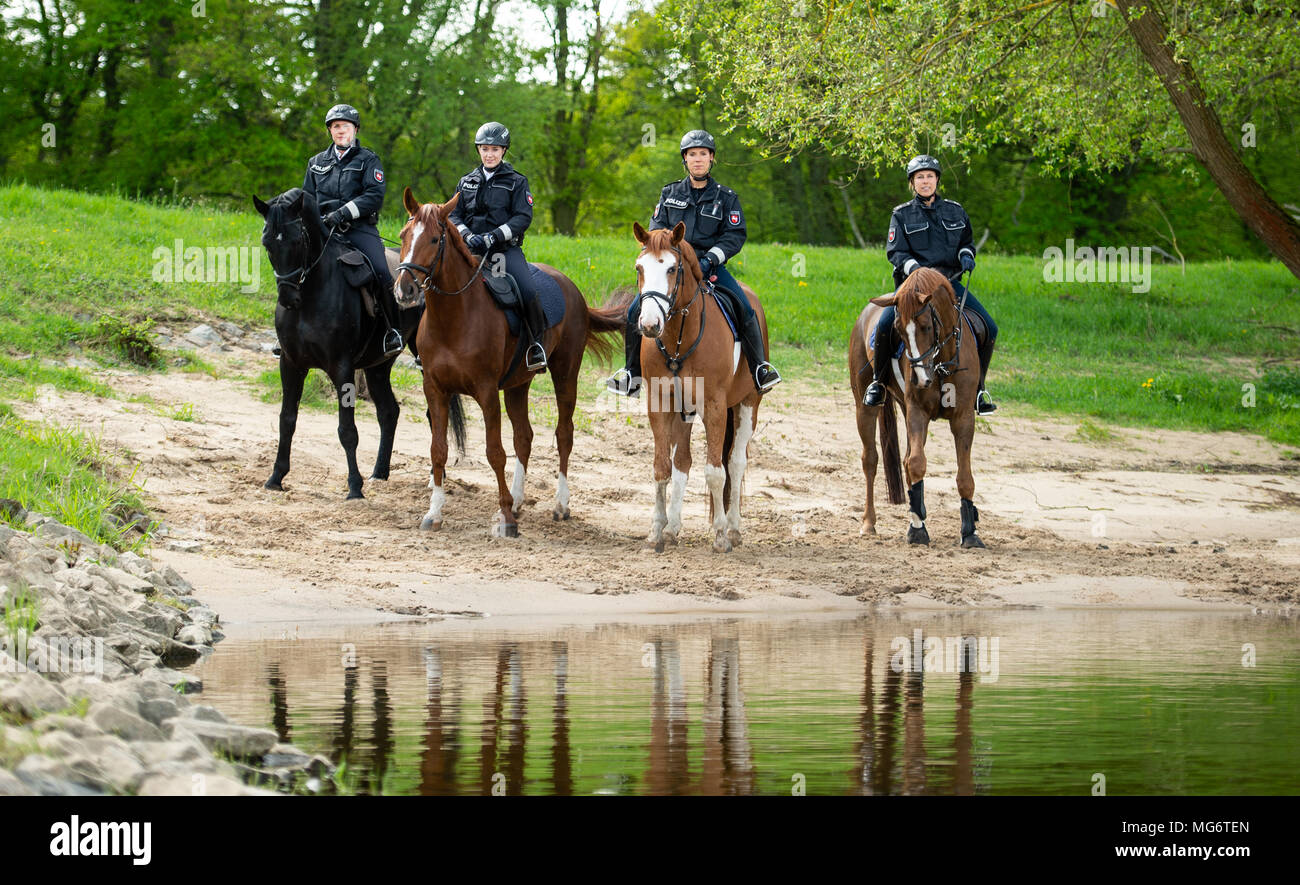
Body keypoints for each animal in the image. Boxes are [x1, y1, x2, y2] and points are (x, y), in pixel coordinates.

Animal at [250, 188, 460, 496]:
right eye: (267, 242)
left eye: (297, 240)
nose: (288, 298)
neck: (311, 296)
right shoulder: (290, 364)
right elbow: (287, 420)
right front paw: (276, 477)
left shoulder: (342, 368)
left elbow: (347, 430)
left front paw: (354, 487)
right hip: (378, 365)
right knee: (389, 412)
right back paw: (379, 473)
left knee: (433, 417)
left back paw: (436, 478)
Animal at [390, 188, 624, 535]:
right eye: (404, 235)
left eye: (434, 239)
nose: (404, 289)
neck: (454, 318)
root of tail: (571, 288)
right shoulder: (435, 389)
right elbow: (438, 450)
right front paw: (434, 513)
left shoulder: (487, 392)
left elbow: (495, 452)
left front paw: (506, 520)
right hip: (518, 385)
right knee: (524, 437)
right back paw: (517, 501)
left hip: (565, 374)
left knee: (564, 434)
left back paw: (560, 505)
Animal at [626, 220, 764, 551]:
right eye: (639, 268)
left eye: (672, 268)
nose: (649, 325)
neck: (679, 337)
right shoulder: (660, 402)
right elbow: (662, 468)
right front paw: (656, 532)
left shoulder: (714, 406)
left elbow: (716, 472)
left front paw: (720, 535)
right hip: (684, 410)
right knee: (682, 462)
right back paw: (673, 528)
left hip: (748, 404)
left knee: (736, 463)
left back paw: (734, 528)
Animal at [842, 266, 982, 545]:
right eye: (898, 329)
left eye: (927, 327)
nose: (920, 379)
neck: (942, 363)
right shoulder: (918, 411)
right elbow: (917, 463)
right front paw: (917, 531)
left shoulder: (963, 417)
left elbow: (964, 476)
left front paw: (970, 532)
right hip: (865, 407)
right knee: (871, 459)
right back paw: (869, 523)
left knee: (905, 461)